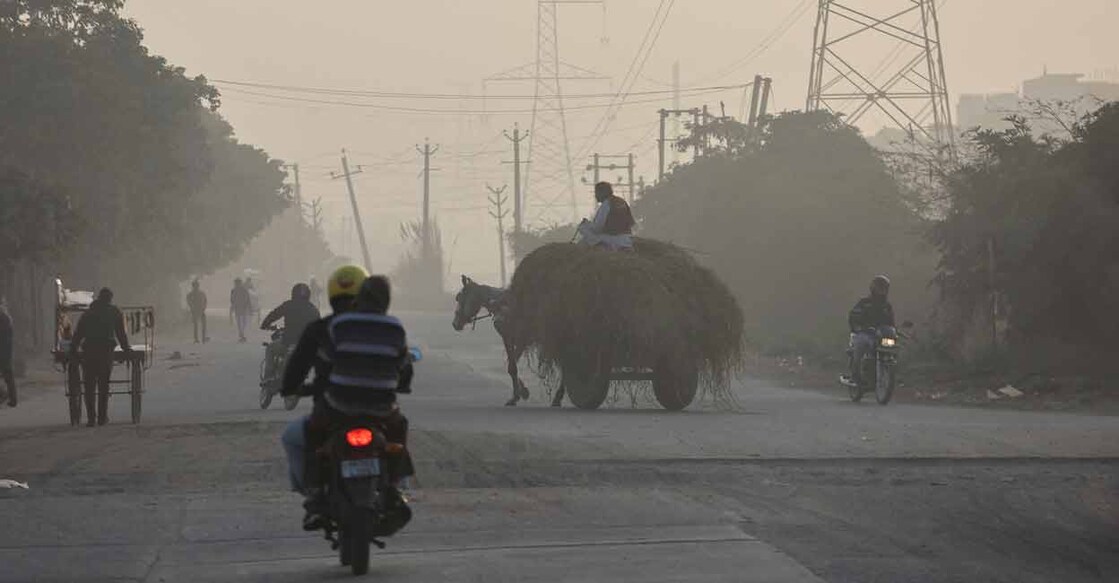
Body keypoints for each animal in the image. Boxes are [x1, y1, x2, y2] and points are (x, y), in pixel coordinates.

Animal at [452, 275, 564, 407]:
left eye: (459, 297)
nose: (455, 323)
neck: (504, 307)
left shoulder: (522, 340)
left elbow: (512, 366)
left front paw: (517, 395)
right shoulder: (508, 339)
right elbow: (511, 366)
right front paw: (521, 392)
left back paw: (557, 398)